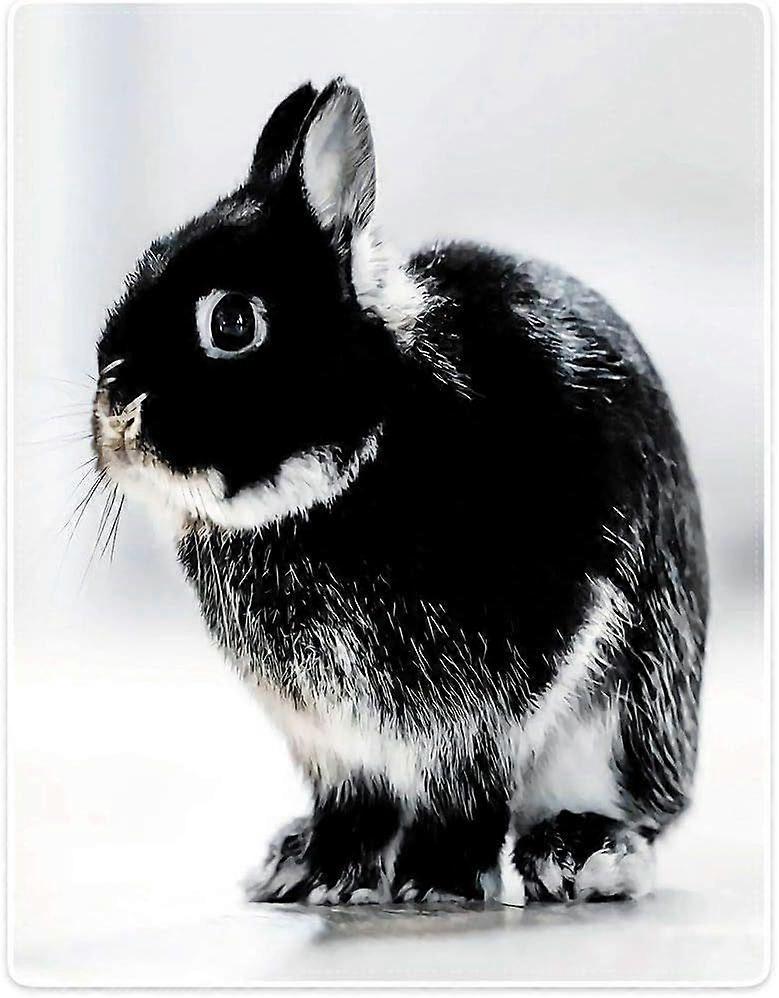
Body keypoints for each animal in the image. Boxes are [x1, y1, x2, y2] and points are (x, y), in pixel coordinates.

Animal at [92, 78, 708, 906]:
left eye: (232, 321)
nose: (115, 406)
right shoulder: (331, 740)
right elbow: (356, 803)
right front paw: (323, 875)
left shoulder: (495, 694)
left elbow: (464, 786)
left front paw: (435, 884)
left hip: (626, 721)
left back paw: (579, 856)